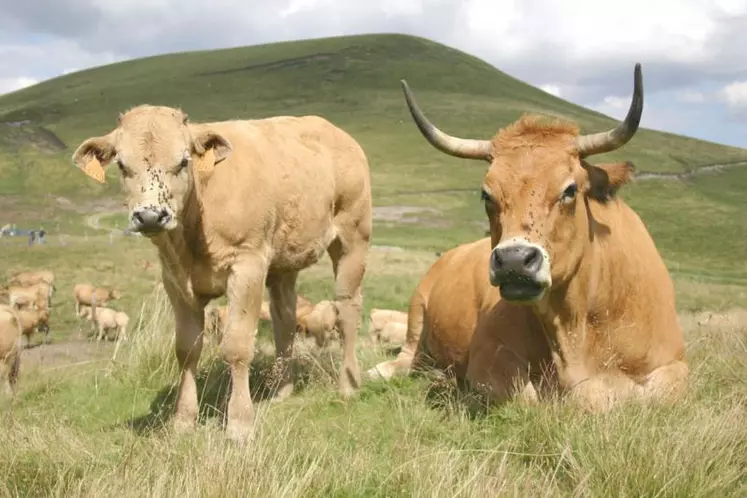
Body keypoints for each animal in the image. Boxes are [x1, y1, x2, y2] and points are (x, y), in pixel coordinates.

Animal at [71, 104, 372, 440]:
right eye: (122, 165)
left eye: (183, 161)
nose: (150, 216)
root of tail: (336, 132)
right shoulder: (174, 279)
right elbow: (187, 349)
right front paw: (183, 420)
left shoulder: (247, 265)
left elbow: (237, 346)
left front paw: (240, 423)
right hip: (283, 259)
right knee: (284, 316)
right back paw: (282, 390)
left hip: (353, 238)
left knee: (347, 307)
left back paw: (348, 385)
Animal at [368, 63, 688, 412]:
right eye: (487, 194)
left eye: (570, 190)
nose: (514, 260)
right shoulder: (487, 355)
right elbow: (528, 397)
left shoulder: (676, 365)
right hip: (417, 311)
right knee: (404, 360)